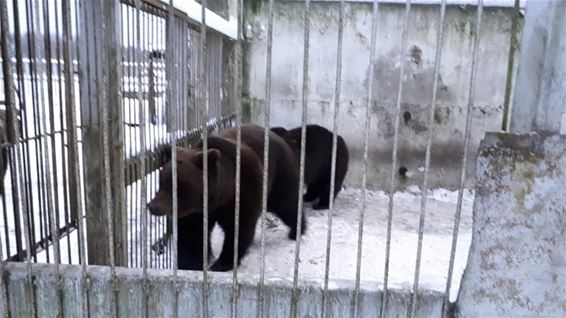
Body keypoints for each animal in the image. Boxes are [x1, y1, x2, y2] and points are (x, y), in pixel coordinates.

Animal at [148, 124, 306, 270]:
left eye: (176, 186)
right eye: (161, 182)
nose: (152, 206)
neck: (219, 197)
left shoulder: (244, 191)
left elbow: (239, 229)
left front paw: (221, 264)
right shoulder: (196, 212)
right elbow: (191, 234)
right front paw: (190, 264)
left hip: (280, 174)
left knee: (286, 204)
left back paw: (297, 231)